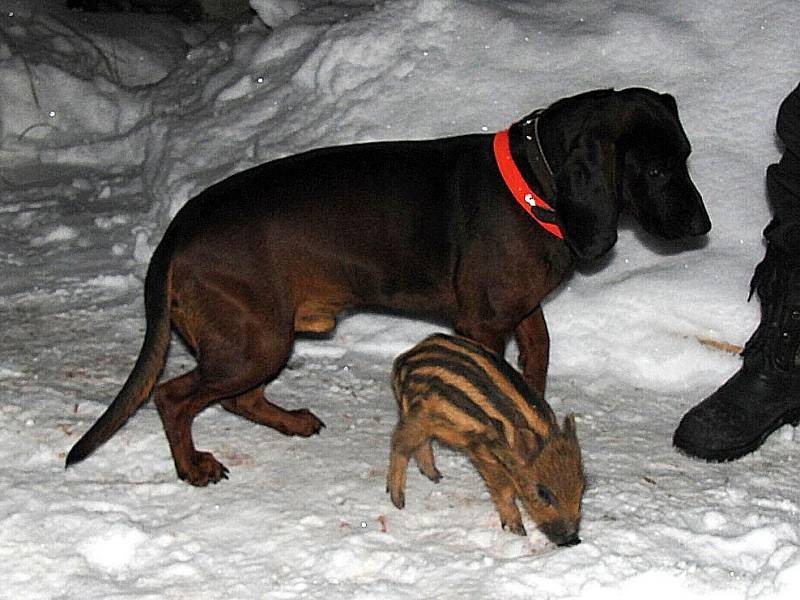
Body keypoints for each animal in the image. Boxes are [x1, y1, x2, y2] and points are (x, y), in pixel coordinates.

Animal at [65, 86, 708, 486]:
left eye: (687, 154)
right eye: (655, 168)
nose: (704, 228)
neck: (534, 177)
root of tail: (178, 230)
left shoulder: (523, 314)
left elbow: (539, 363)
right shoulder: (483, 325)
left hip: (261, 338)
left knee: (237, 398)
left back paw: (291, 421)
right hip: (255, 340)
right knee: (174, 398)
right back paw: (193, 466)